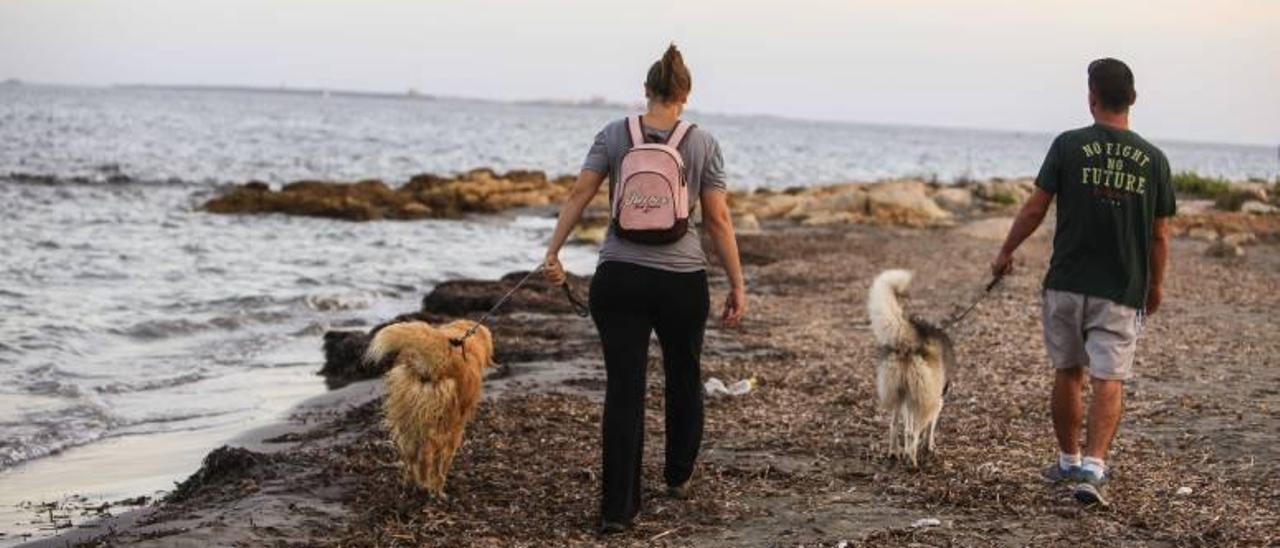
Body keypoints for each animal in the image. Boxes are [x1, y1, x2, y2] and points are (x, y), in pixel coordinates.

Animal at [368, 318, 496, 494]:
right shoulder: (457, 426)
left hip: (408, 419)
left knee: (411, 457)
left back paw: (411, 484)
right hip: (443, 424)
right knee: (431, 458)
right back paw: (435, 489)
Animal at [865, 270, 957, 466]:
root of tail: (907, 337)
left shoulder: (909, 398)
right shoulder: (936, 402)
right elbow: (929, 429)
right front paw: (929, 447)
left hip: (898, 394)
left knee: (894, 426)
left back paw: (895, 453)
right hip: (924, 401)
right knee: (911, 432)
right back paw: (912, 461)